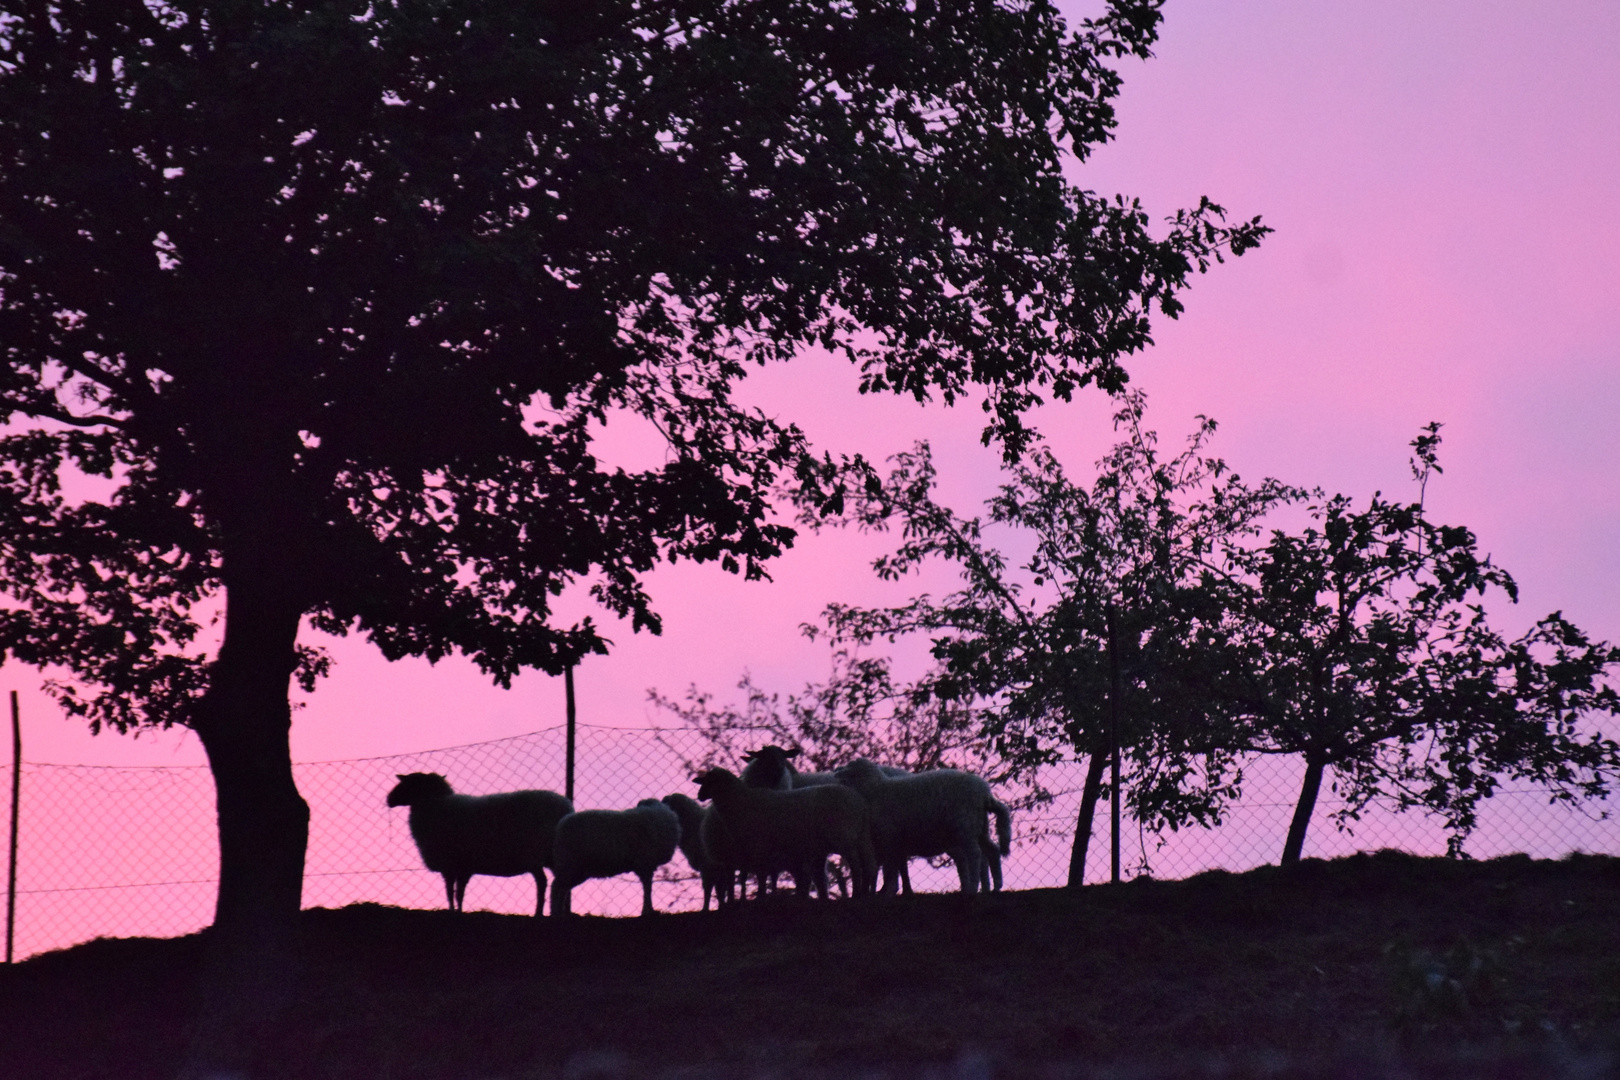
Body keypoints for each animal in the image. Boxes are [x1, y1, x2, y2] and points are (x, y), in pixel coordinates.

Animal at [385, 773, 576, 919]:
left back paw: (539, 913)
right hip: (553, 857)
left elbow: (451, 892)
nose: (388, 799)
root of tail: (567, 808)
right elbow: (458, 892)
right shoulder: (463, 867)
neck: (434, 805)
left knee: (543, 882)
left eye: (409, 784)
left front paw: (453, 912)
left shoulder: (451, 864)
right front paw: (458, 911)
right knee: (559, 883)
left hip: (535, 854)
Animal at [550, 799, 683, 919]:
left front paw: (648, 910)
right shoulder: (645, 863)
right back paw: (556, 914)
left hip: (579, 869)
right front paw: (648, 911)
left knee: (563, 888)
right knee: (556, 887)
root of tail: (561, 825)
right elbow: (647, 887)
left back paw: (561, 913)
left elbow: (647, 886)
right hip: (570, 864)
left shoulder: (647, 865)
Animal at [693, 767, 874, 906]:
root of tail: (860, 802)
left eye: (711, 781)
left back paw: (856, 894)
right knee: (867, 864)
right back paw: (863, 892)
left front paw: (761, 896)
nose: (700, 796)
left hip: (844, 838)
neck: (741, 803)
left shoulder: (759, 847)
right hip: (860, 837)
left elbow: (761, 874)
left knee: (856, 865)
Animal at [835, 751, 1010, 893]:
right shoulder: (893, 842)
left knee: (975, 854)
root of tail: (985, 793)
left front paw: (887, 891)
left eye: (849, 768)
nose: (836, 773)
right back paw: (993, 887)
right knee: (991, 850)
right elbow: (894, 867)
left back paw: (973, 888)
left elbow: (890, 869)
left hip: (965, 825)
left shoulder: (889, 838)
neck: (875, 789)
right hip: (979, 826)